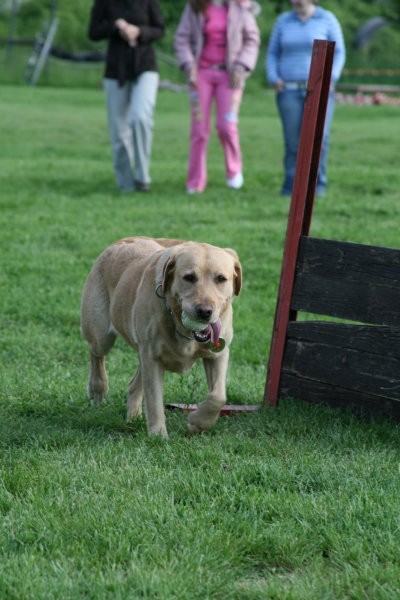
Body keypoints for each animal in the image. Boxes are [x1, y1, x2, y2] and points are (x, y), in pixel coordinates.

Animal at [79, 237, 239, 438]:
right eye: (189, 277)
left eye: (221, 279)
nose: (204, 311)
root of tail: (118, 242)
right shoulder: (152, 357)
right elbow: (154, 399)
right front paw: (158, 435)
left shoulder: (218, 352)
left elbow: (218, 397)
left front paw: (199, 422)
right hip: (101, 333)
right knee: (96, 354)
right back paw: (98, 389)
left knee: (133, 384)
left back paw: (133, 417)